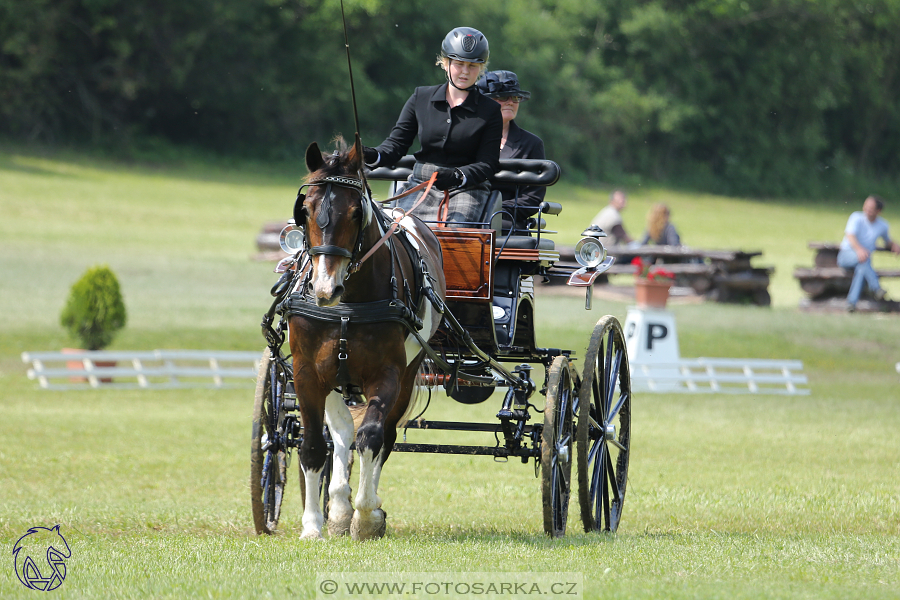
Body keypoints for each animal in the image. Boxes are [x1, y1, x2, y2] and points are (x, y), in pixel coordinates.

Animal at [288, 138, 446, 540]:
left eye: (356, 212)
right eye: (305, 210)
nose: (325, 289)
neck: (349, 302)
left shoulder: (387, 373)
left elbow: (372, 436)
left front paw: (368, 516)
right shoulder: (307, 373)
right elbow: (314, 445)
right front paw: (314, 524)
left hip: (407, 373)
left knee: (382, 435)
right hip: (335, 377)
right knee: (343, 432)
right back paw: (339, 507)